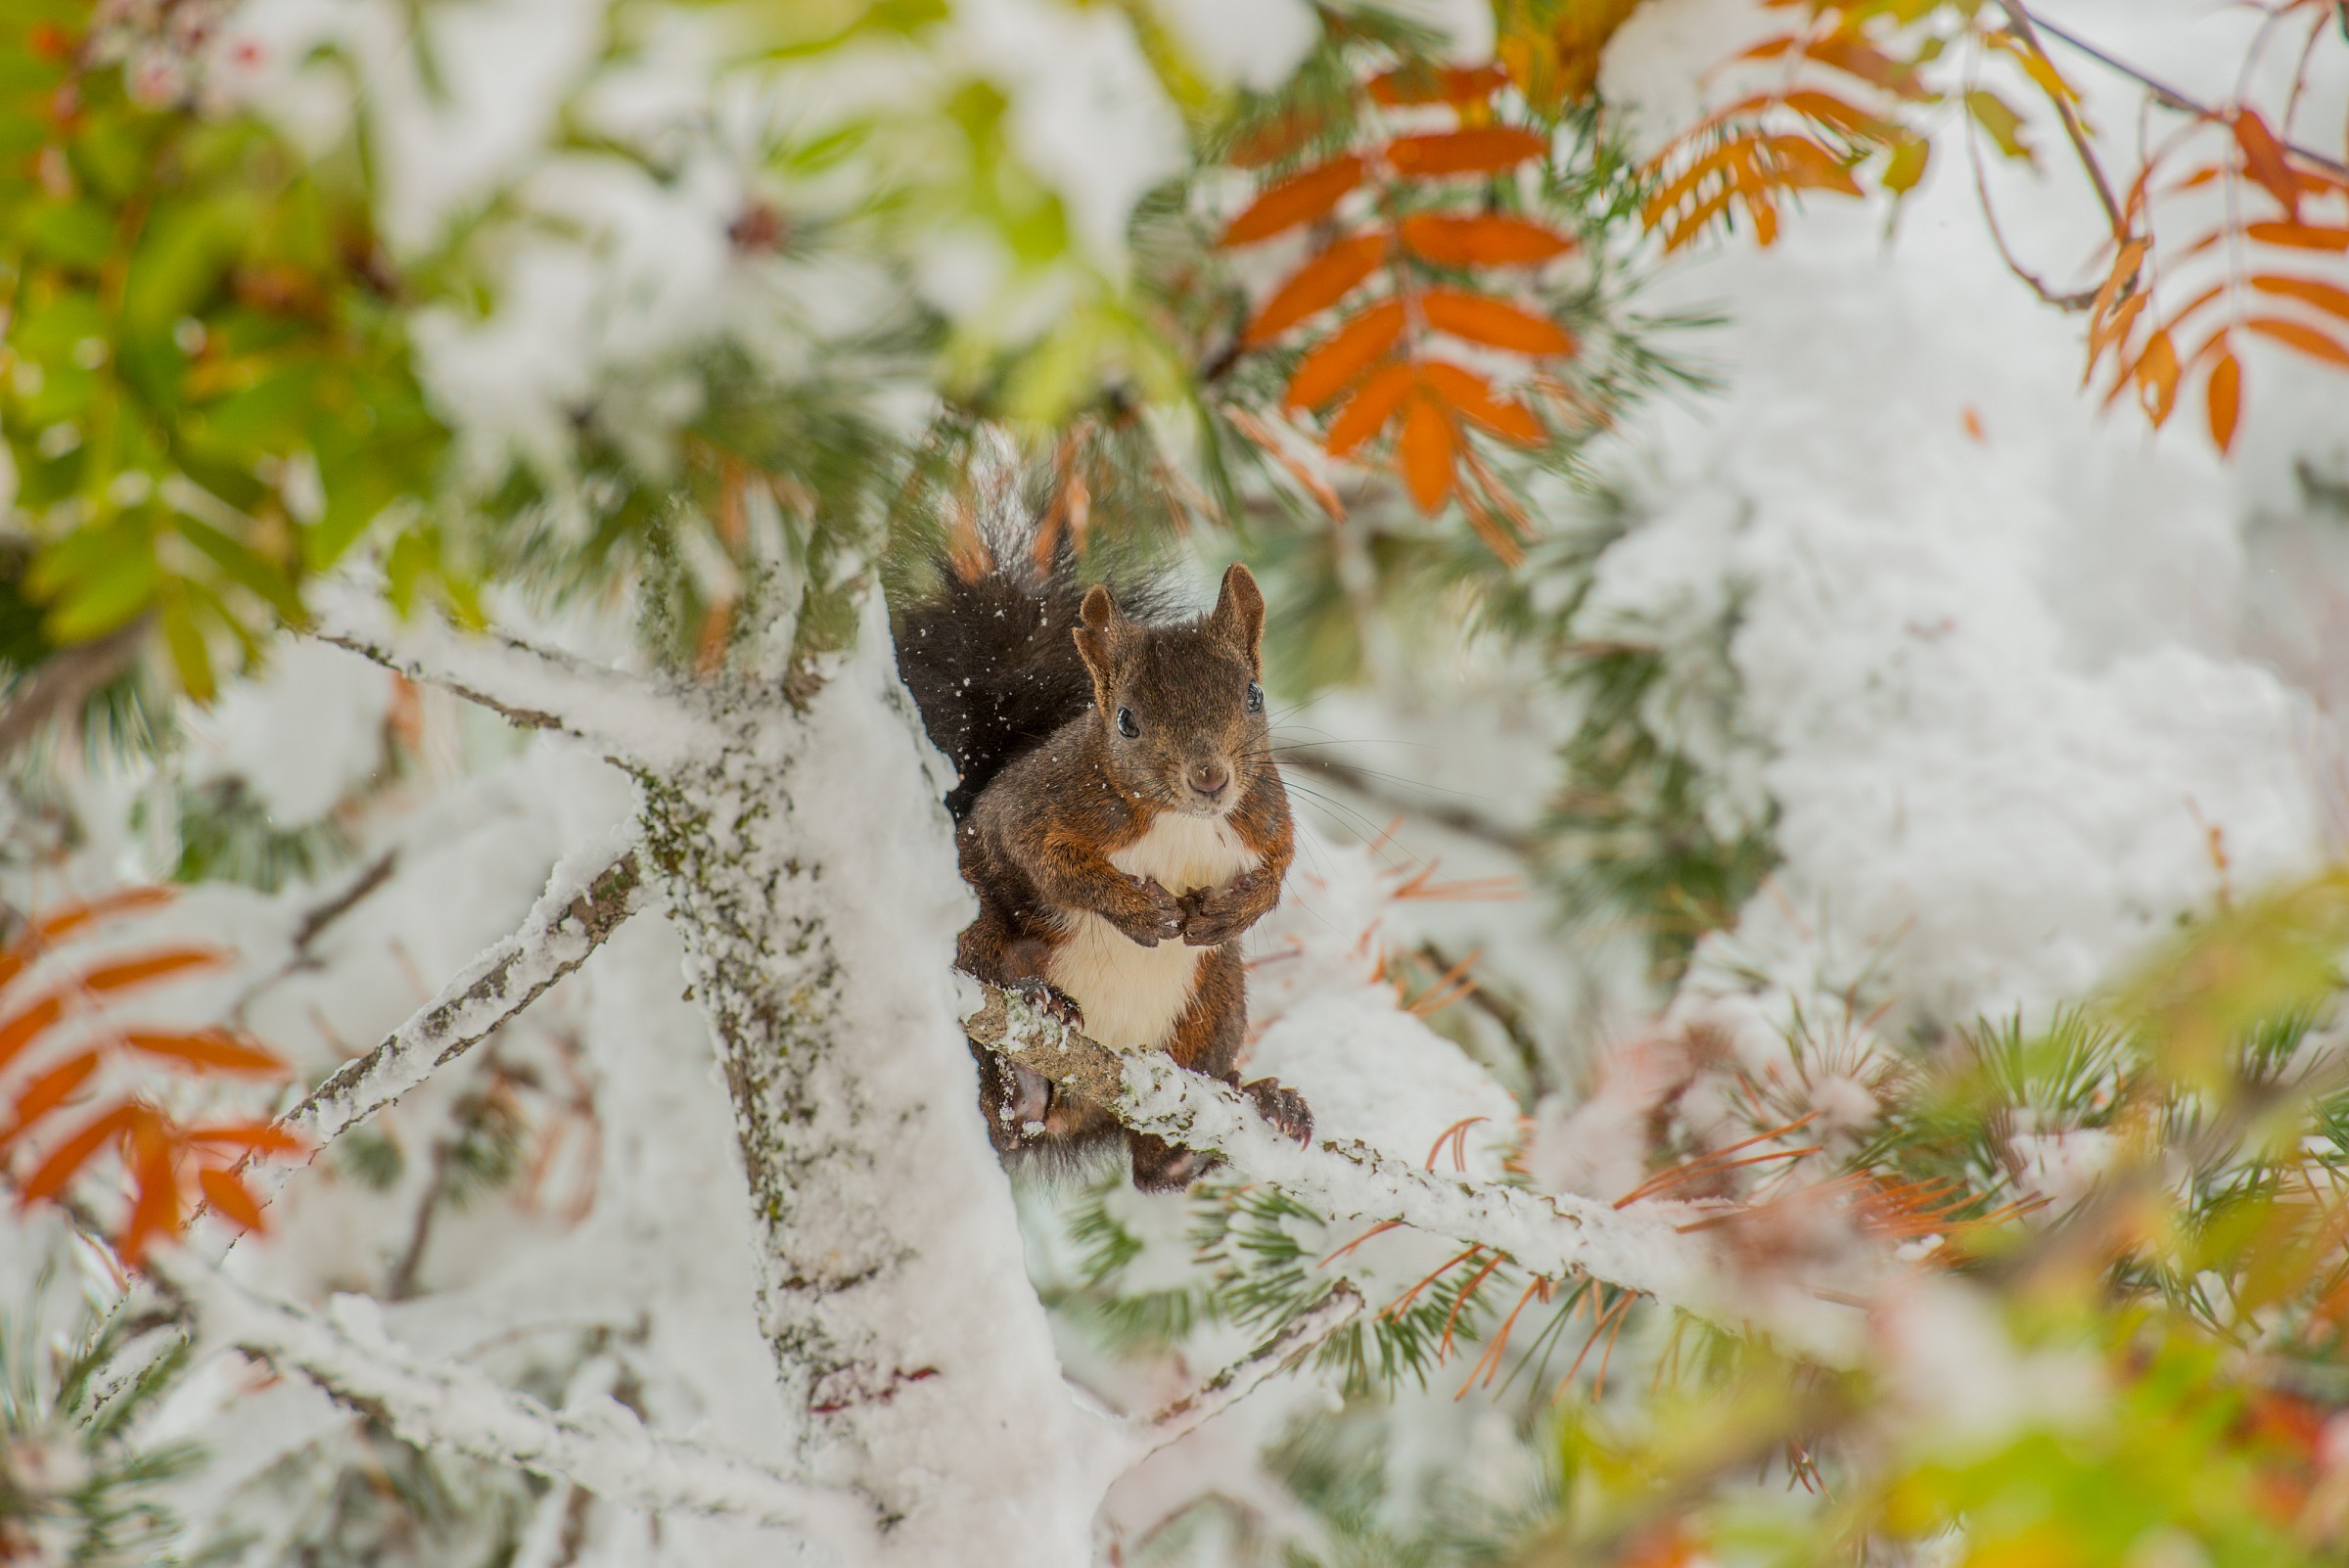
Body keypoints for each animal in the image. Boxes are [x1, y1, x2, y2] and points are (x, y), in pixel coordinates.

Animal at [897, 551, 1312, 1191]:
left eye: (1254, 695)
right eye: (1125, 721)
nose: (1210, 779)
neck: (1182, 820)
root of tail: (1079, 1110)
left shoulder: (1266, 812)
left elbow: (1278, 866)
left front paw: (1236, 911)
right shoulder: (1036, 808)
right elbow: (1050, 863)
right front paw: (1137, 910)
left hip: (1217, 1000)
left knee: (1152, 1167)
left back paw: (1263, 1106)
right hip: (977, 926)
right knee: (1002, 1105)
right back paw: (1029, 1047)